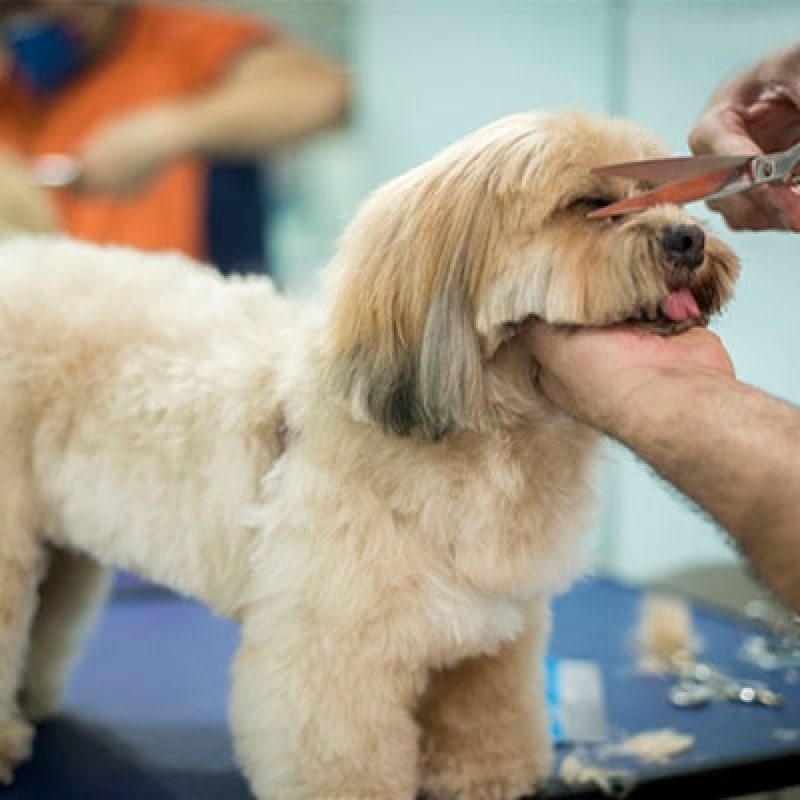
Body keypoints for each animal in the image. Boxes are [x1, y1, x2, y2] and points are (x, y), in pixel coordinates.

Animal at [0, 108, 736, 800]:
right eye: (590, 204)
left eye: (675, 194)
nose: (689, 238)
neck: (493, 440)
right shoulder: (333, 652)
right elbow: (340, 756)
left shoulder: (496, 633)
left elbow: (486, 717)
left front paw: (488, 779)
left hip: (62, 549)